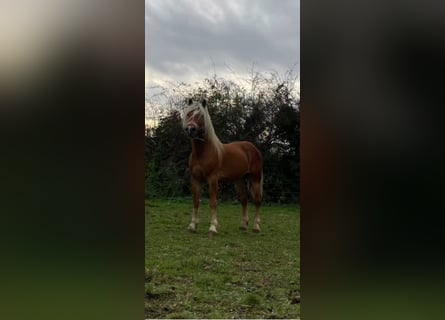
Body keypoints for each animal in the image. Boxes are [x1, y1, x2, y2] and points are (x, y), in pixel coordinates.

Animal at [181, 99, 262, 236]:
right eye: (189, 114)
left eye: (201, 116)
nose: (190, 129)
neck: (202, 153)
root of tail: (253, 148)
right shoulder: (195, 179)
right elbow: (195, 201)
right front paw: (192, 225)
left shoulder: (213, 179)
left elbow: (213, 203)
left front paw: (213, 228)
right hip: (239, 179)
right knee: (244, 200)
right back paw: (243, 225)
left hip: (256, 178)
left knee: (257, 200)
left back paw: (256, 227)